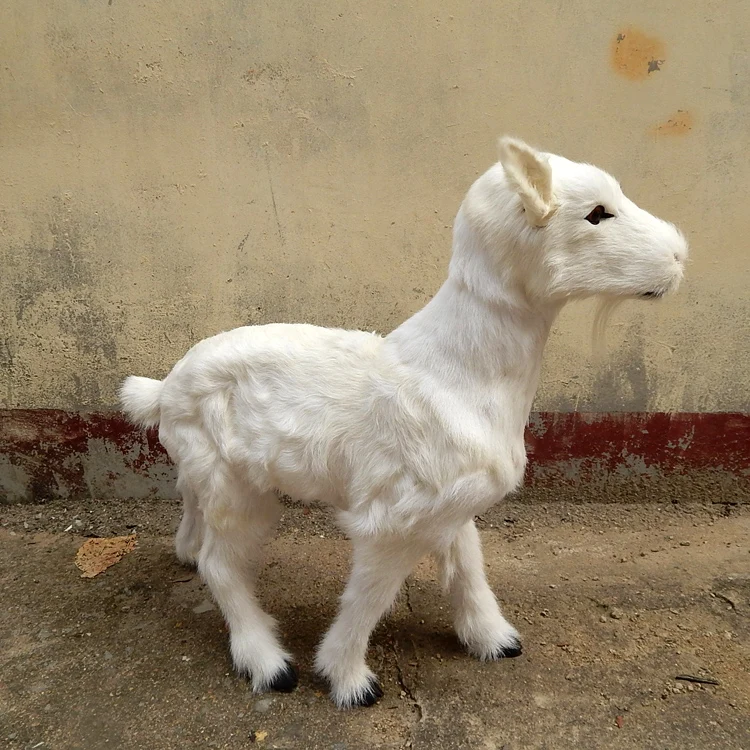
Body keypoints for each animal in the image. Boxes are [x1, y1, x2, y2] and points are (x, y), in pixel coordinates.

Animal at [120, 136, 688, 708]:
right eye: (596, 214)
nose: (680, 256)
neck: (460, 370)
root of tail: (163, 390)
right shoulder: (393, 518)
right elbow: (370, 596)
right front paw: (348, 680)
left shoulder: (451, 502)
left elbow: (468, 564)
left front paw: (493, 639)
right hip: (237, 489)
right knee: (221, 565)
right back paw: (267, 662)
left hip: (206, 472)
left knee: (196, 534)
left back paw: (189, 555)